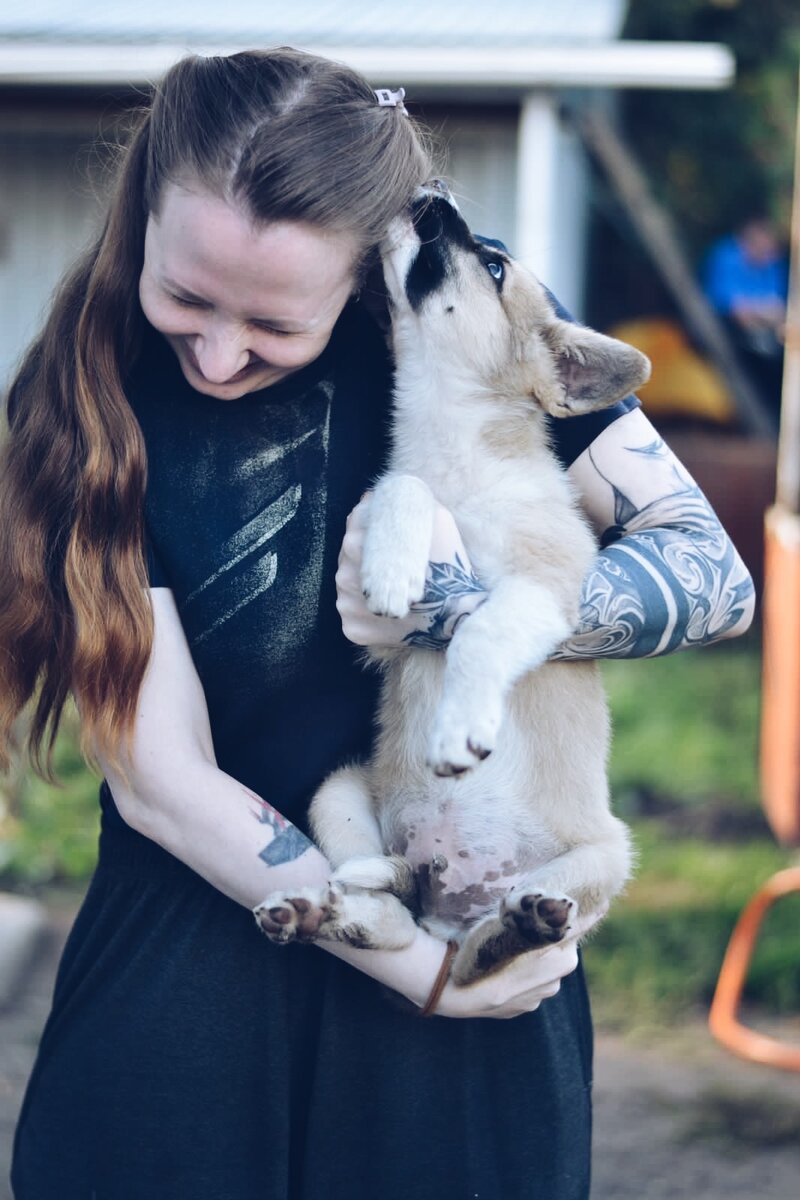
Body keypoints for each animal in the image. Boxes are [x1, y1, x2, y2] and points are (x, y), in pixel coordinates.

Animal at [256, 184, 652, 984]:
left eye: (495, 268)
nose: (430, 190)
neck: (456, 453)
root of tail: (452, 906)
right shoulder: (393, 547)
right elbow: (400, 485)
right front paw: (393, 564)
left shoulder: (547, 591)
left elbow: (479, 632)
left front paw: (459, 729)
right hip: (339, 793)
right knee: (388, 917)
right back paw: (321, 909)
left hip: (606, 856)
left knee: (489, 947)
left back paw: (521, 926)